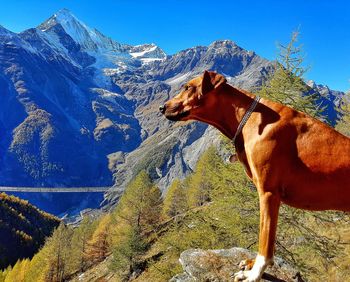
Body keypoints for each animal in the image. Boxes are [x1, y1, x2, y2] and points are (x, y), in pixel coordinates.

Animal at [161, 70, 350, 280]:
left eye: (188, 87)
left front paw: (255, 273)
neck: (249, 117)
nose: (162, 107)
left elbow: (265, 242)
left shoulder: (268, 194)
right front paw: (251, 264)